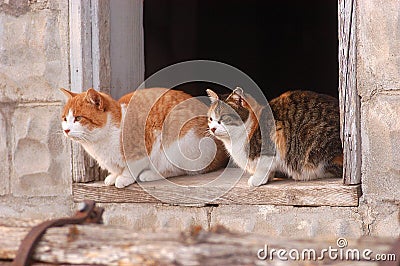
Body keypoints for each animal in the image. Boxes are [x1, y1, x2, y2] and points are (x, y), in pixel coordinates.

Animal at [59, 87, 228, 187]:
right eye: (65, 118)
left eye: (78, 118)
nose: (66, 130)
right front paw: (114, 176)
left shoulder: (142, 149)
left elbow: (131, 167)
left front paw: (123, 178)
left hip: (179, 143)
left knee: (179, 170)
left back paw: (150, 174)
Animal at [208, 88, 342, 187]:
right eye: (210, 119)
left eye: (223, 117)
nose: (213, 128)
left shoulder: (275, 136)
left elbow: (264, 165)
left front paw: (257, 179)